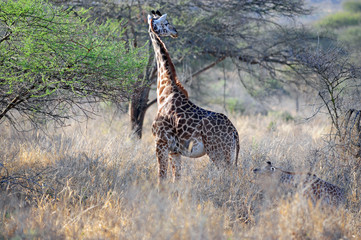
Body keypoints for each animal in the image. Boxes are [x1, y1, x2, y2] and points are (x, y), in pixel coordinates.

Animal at [147, 10, 239, 185]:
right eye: (167, 23)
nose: (175, 31)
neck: (164, 92)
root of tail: (234, 132)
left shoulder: (160, 143)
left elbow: (161, 178)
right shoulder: (175, 151)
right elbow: (176, 179)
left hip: (218, 153)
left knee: (229, 178)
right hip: (228, 155)